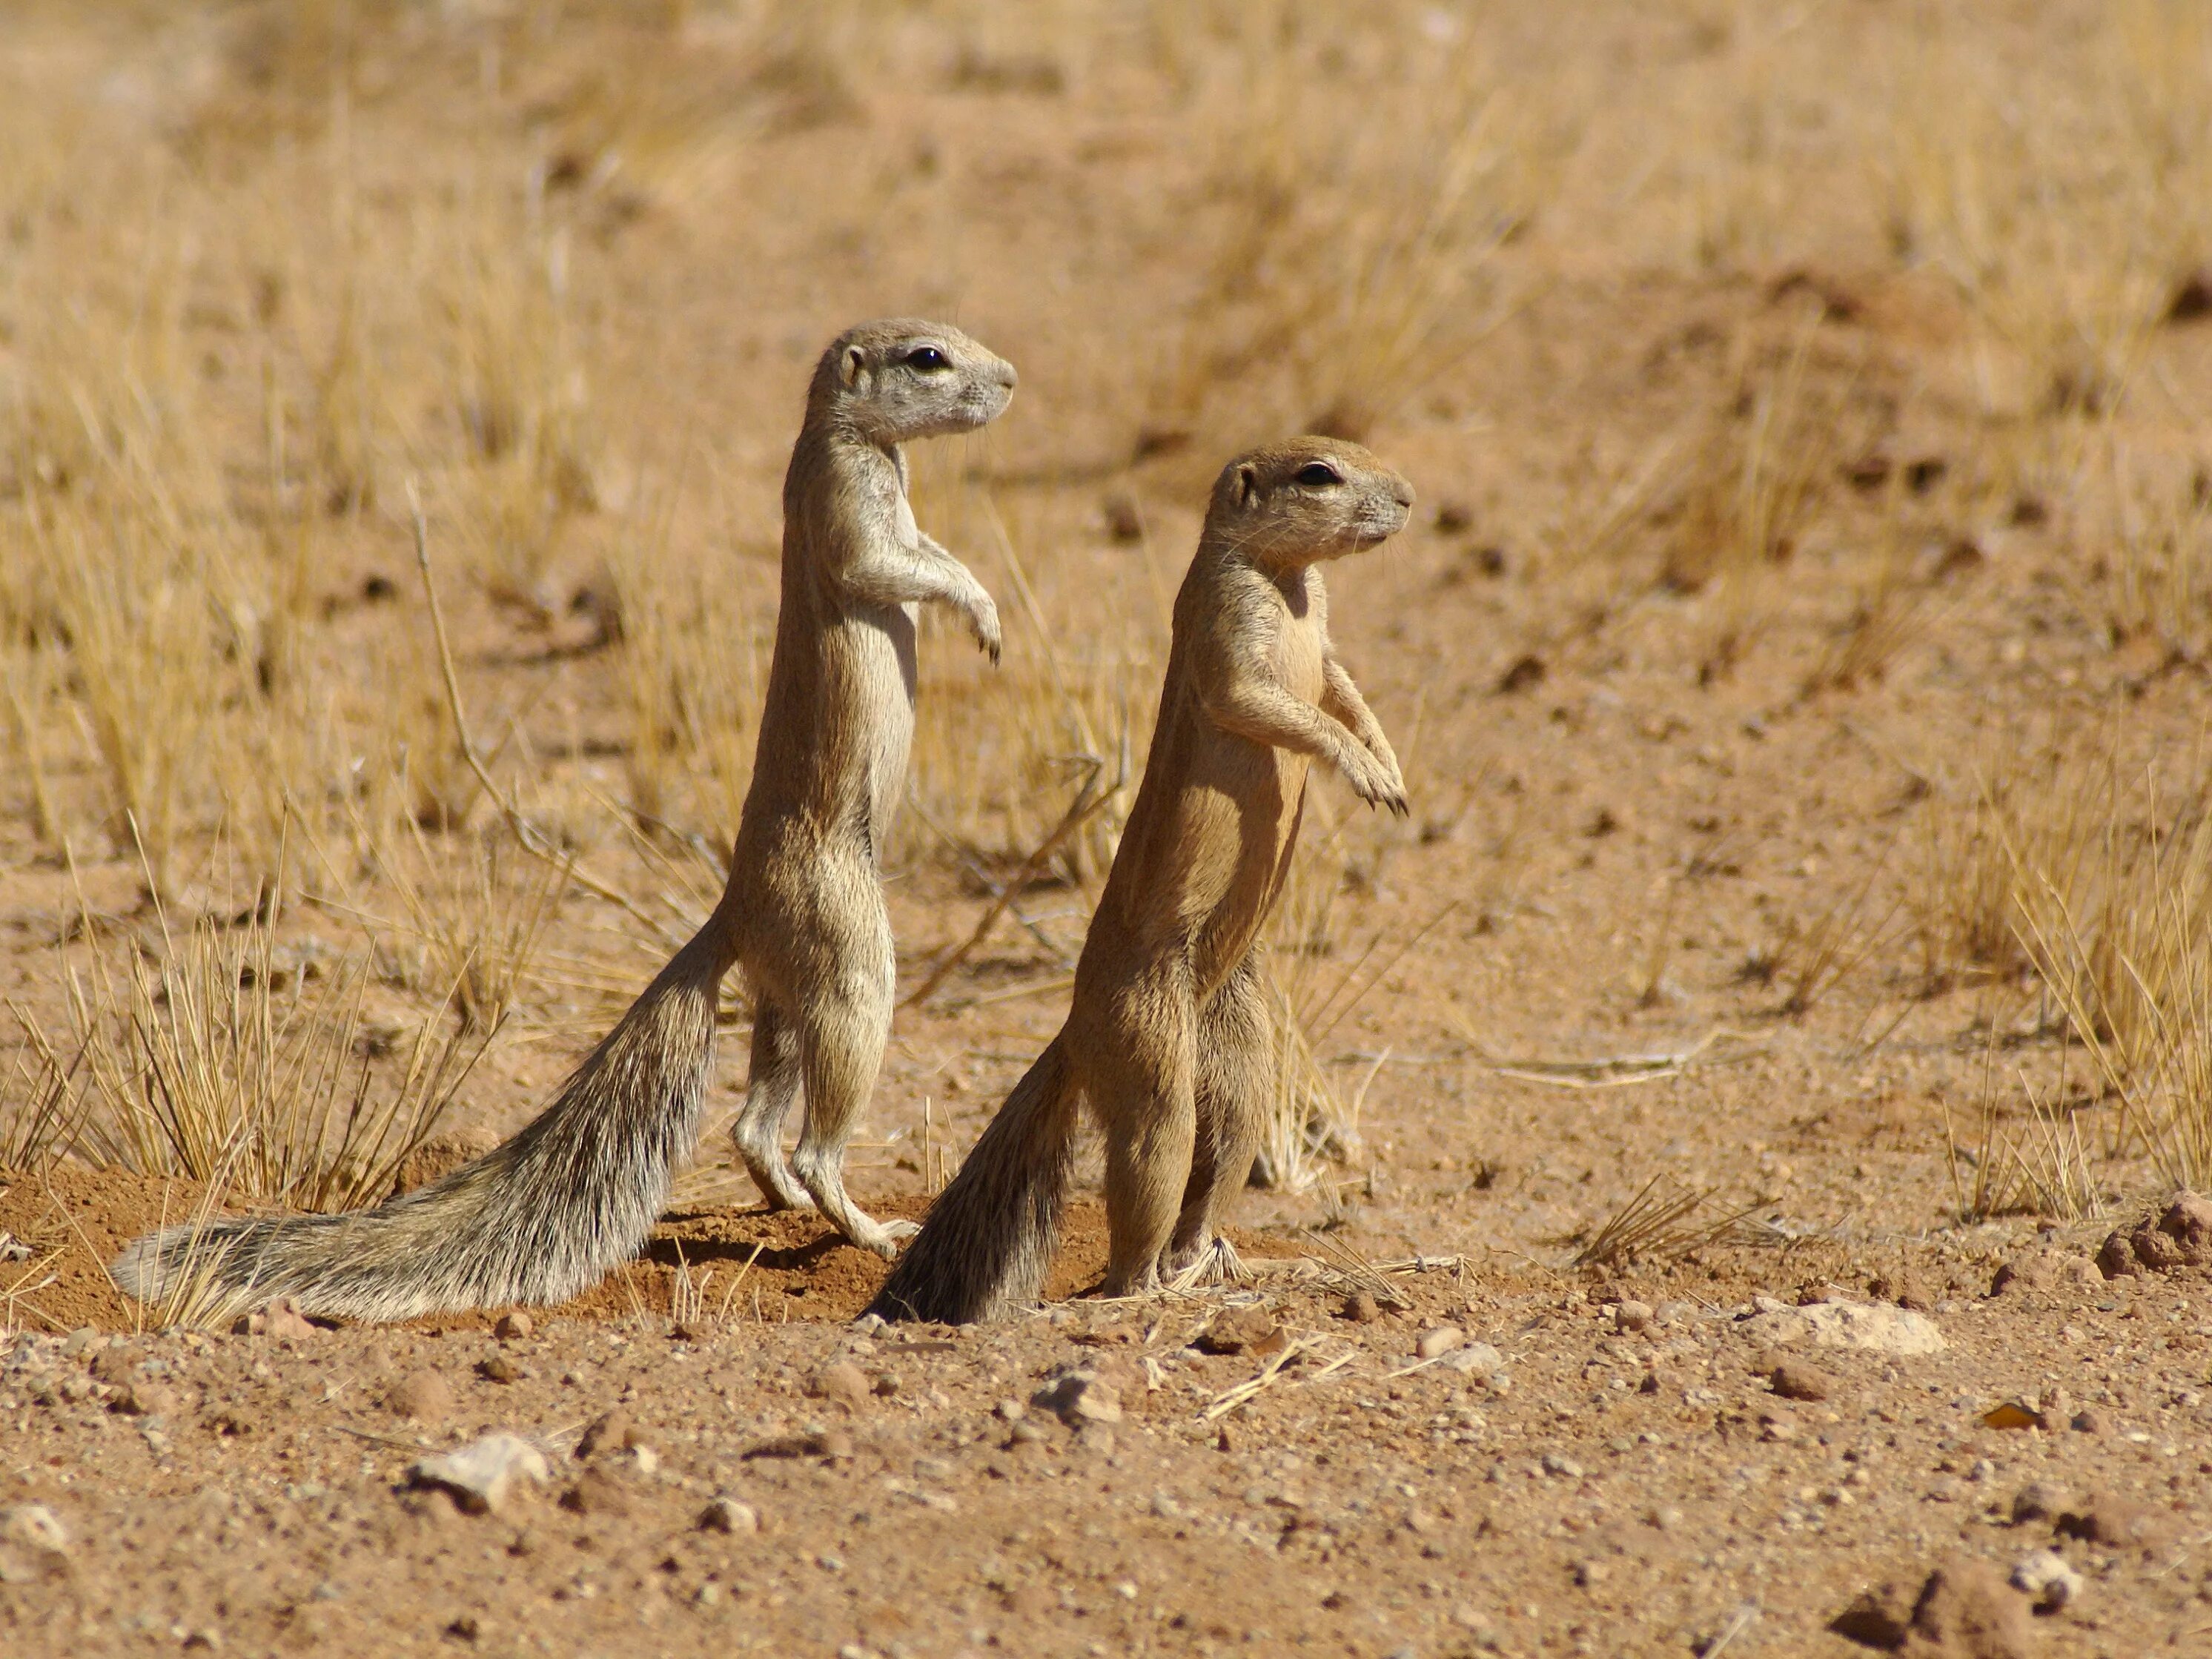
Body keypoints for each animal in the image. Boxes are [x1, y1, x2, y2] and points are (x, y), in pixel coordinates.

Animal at [114, 314, 1017, 1327]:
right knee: (813, 1138)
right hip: (854, 965)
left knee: (751, 1127)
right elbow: (899, 565)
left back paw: (784, 1203)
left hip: (791, 992)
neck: (856, 440)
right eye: (928, 358)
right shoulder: (850, 508)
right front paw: (983, 614)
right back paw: (865, 1229)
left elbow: (929, 548)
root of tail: (732, 909)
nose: (1011, 382)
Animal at [871, 437, 1406, 1327]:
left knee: (1218, 1161)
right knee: (1144, 1198)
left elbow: (1342, 687)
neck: (1291, 583)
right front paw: (1362, 770)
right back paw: (1147, 1291)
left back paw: (1225, 1264)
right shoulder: (1229, 631)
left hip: (1240, 1055)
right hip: (1152, 1061)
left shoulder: (1323, 646)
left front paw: (1389, 765)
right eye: (1318, 474)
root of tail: (1075, 1030)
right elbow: (1275, 705)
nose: (1407, 500)